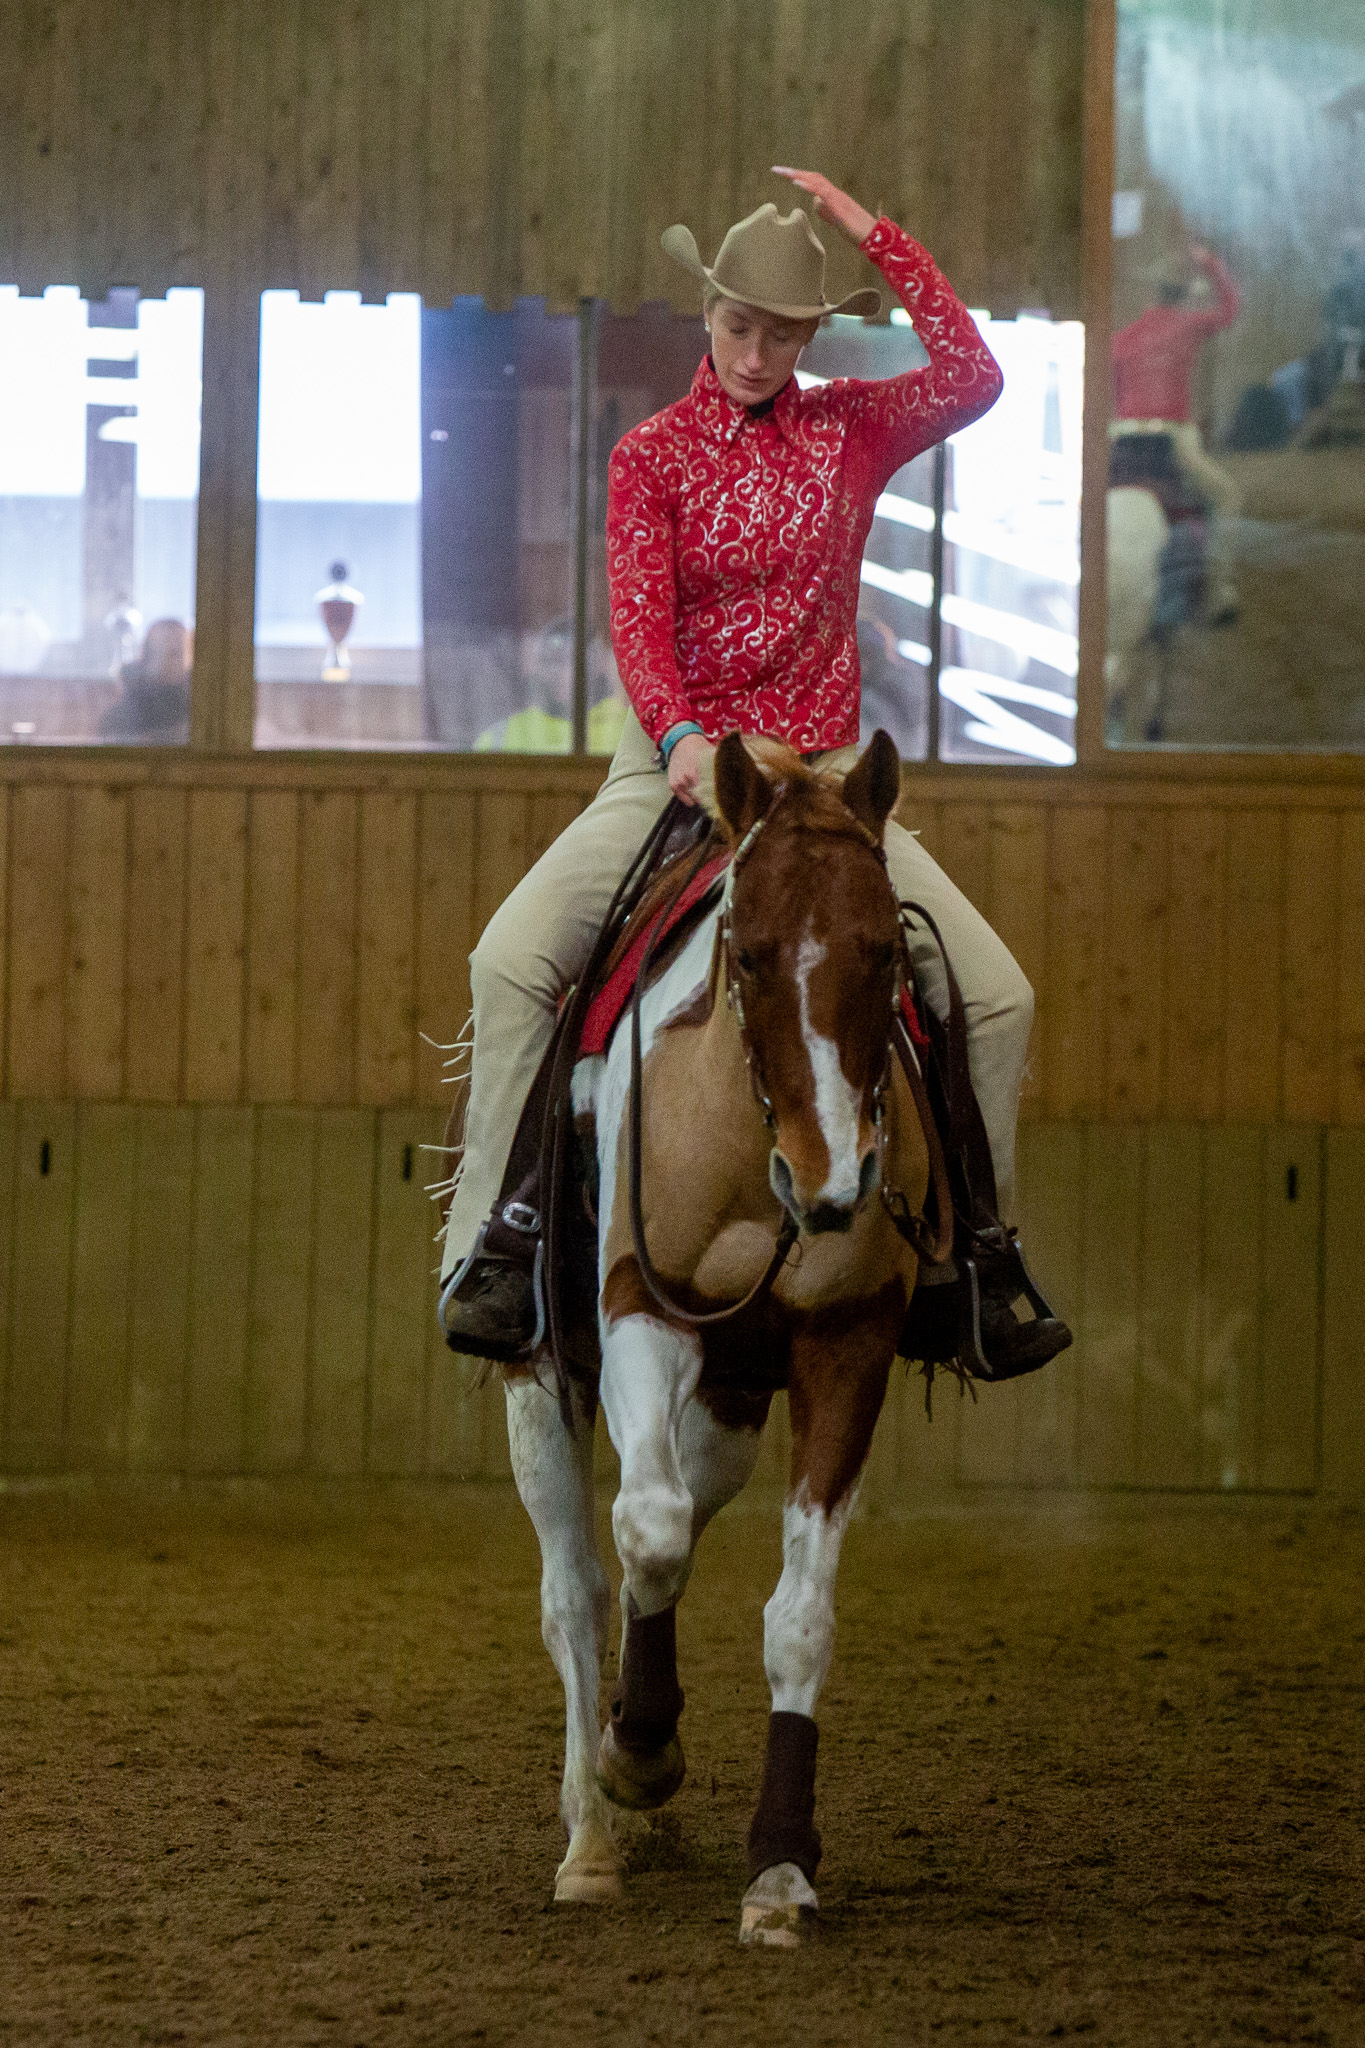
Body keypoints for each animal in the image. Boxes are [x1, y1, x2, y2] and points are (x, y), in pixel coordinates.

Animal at [496, 728, 930, 1946]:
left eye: (886, 950)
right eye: (750, 954)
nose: (833, 1183)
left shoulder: (847, 1341)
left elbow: (795, 1617)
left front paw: (779, 1871)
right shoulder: (641, 1304)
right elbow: (646, 1532)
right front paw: (635, 1754)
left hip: (736, 1394)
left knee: (687, 1501)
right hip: (541, 1379)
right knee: (578, 1583)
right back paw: (591, 1833)